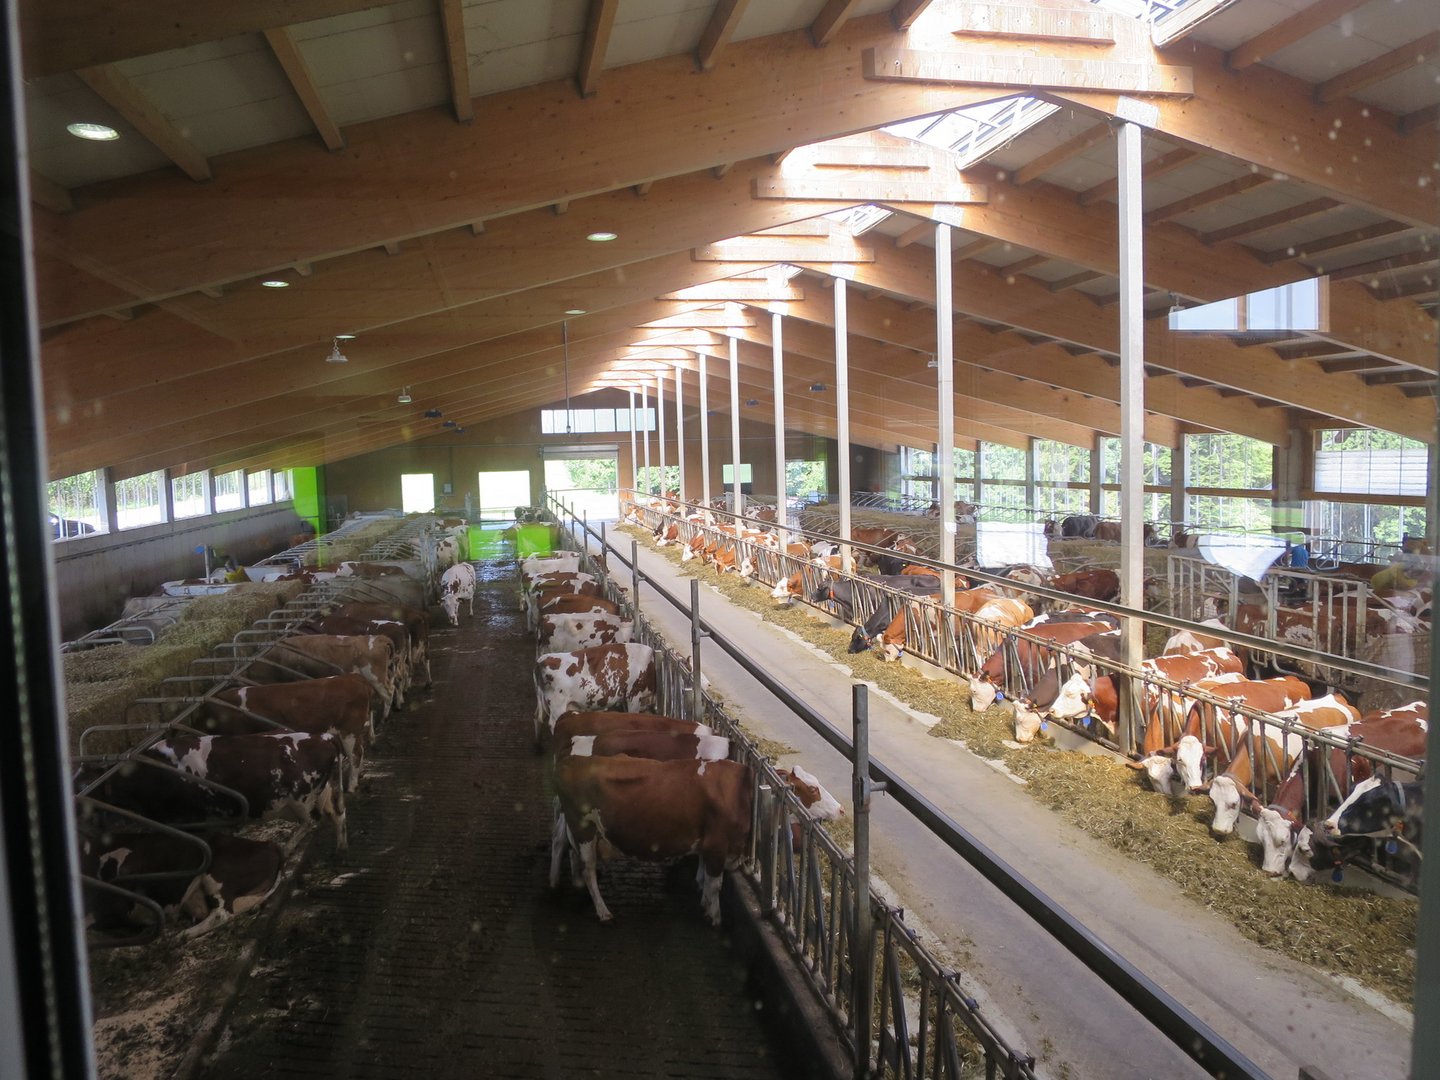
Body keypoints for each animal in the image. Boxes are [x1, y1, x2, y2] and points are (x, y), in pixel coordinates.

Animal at [144, 731, 348, 849]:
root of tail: (324, 737)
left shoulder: (195, 815)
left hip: (301, 800)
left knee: (310, 822)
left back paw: (286, 850)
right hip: (325, 792)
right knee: (337, 814)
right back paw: (341, 849)